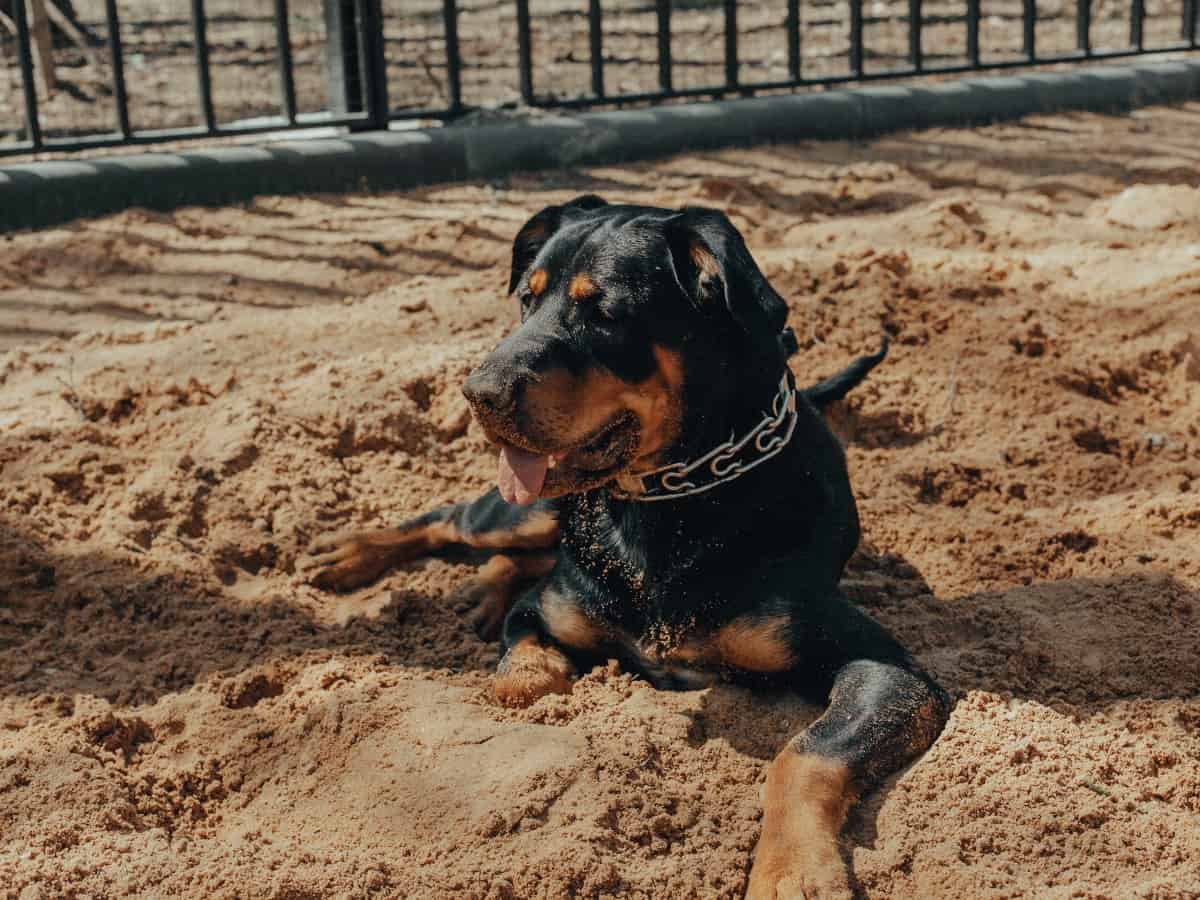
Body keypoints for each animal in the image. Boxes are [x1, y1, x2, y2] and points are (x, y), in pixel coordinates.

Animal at [307, 199, 945, 900]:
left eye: (604, 313)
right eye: (526, 299)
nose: (478, 393)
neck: (667, 503)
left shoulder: (891, 673)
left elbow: (805, 752)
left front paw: (794, 871)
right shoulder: (542, 613)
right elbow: (522, 680)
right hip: (521, 510)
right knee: (454, 521)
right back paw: (355, 556)